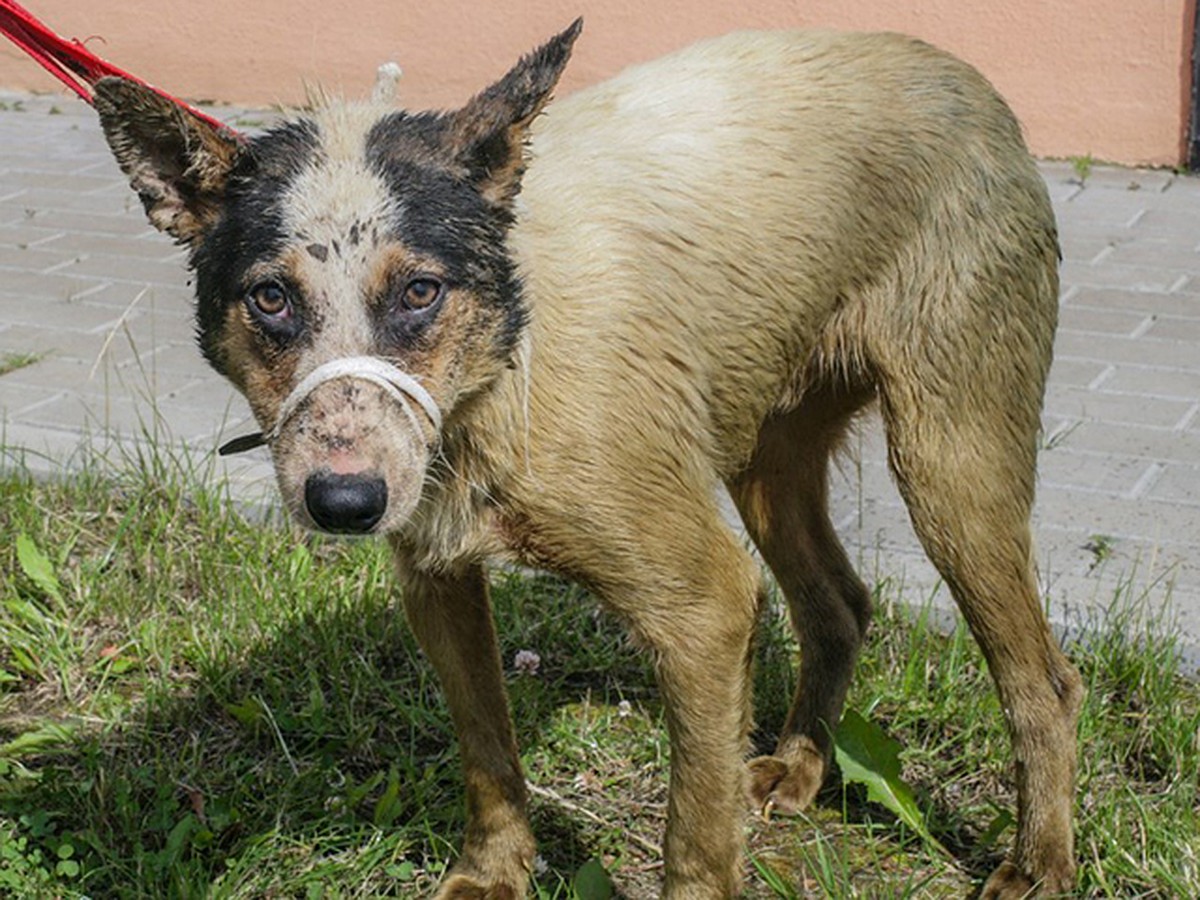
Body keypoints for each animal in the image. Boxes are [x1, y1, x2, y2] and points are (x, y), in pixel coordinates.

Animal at [88, 22, 1084, 900]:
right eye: (270, 298)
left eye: (420, 291)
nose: (343, 502)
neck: (507, 367)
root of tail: (959, 73)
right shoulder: (435, 579)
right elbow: (488, 755)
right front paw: (495, 874)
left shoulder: (706, 606)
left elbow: (696, 837)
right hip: (767, 458)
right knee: (837, 602)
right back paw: (802, 769)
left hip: (951, 463)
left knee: (1044, 682)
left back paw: (1039, 863)